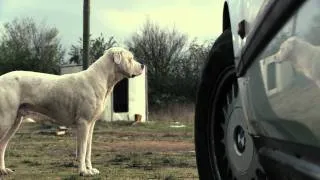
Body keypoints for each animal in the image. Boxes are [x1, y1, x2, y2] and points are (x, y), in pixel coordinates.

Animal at [0, 46, 144, 176]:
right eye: (131, 58)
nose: (143, 65)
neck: (101, 78)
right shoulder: (83, 123)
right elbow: (82, 150)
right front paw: (83, 172)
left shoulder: (91, 125)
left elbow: (88, 150)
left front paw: (90, 169)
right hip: (6, 121)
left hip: (15, 122)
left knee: (2, 145)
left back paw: (3, 170)